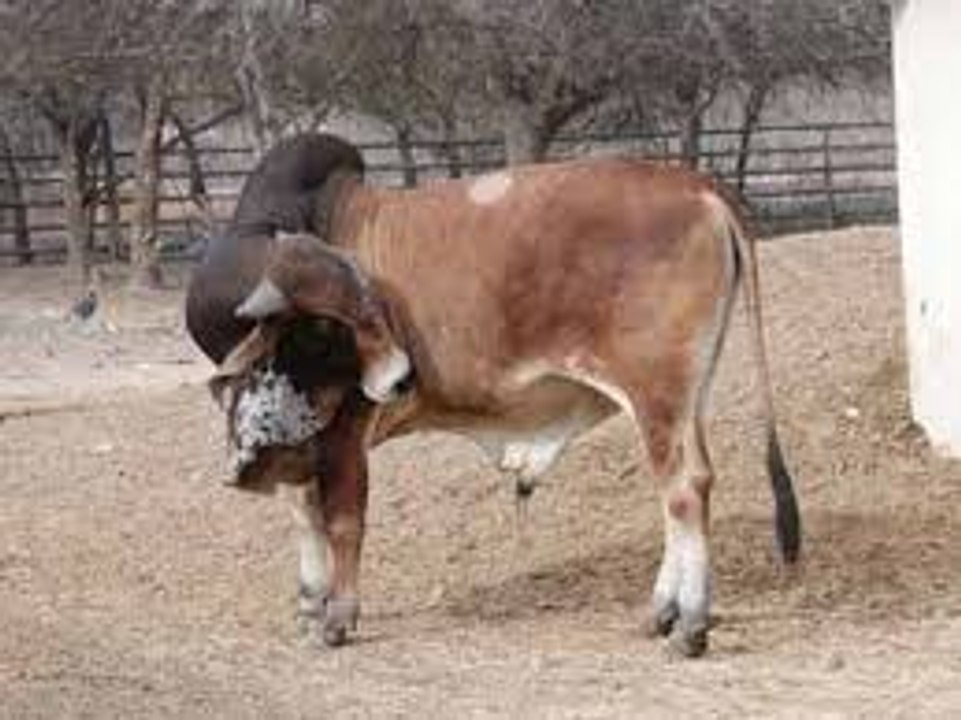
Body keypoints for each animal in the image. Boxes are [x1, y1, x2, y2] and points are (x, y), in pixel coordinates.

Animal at [185, 133, 801, 658]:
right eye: (324, 323)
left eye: (360, 313)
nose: (401, 377)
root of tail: (698, 187)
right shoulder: (305, 443)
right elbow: (303, 515)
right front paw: (310, 608)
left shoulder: (344, 432)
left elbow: (341, 520)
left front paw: (338, 617)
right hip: (686, 396)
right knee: (683, 489)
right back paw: (663, 614)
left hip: (657, 393)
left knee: (684, 490)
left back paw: (690, 624)